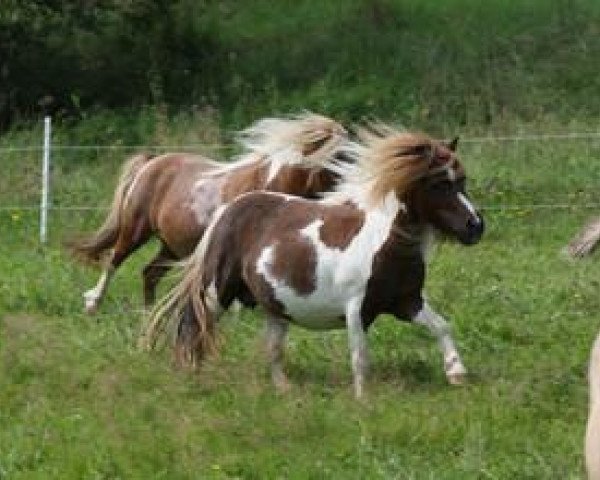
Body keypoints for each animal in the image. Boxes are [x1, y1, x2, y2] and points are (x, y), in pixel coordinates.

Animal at [70, 114, 346, 314]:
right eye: (337, 156)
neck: (270, 184)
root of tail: (151, 162)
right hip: (136, 230)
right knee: (113, 260)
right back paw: (93, 303)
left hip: (171, 246)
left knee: (149, 273)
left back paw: (148, 313)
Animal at [143, 124, 486, 398]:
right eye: (439, 183)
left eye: (462, 180)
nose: (476, 226)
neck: (385, 241)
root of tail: (227, 211)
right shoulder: (356, 308)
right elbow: (360, 357)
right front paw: (363, 401)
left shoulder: (407, 301)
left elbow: (441, 326)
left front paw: (456, 373)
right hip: (217, 293)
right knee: (194, 327)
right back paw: (191, 378)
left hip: (275, 308)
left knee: (272, 350)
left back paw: (284, 391)